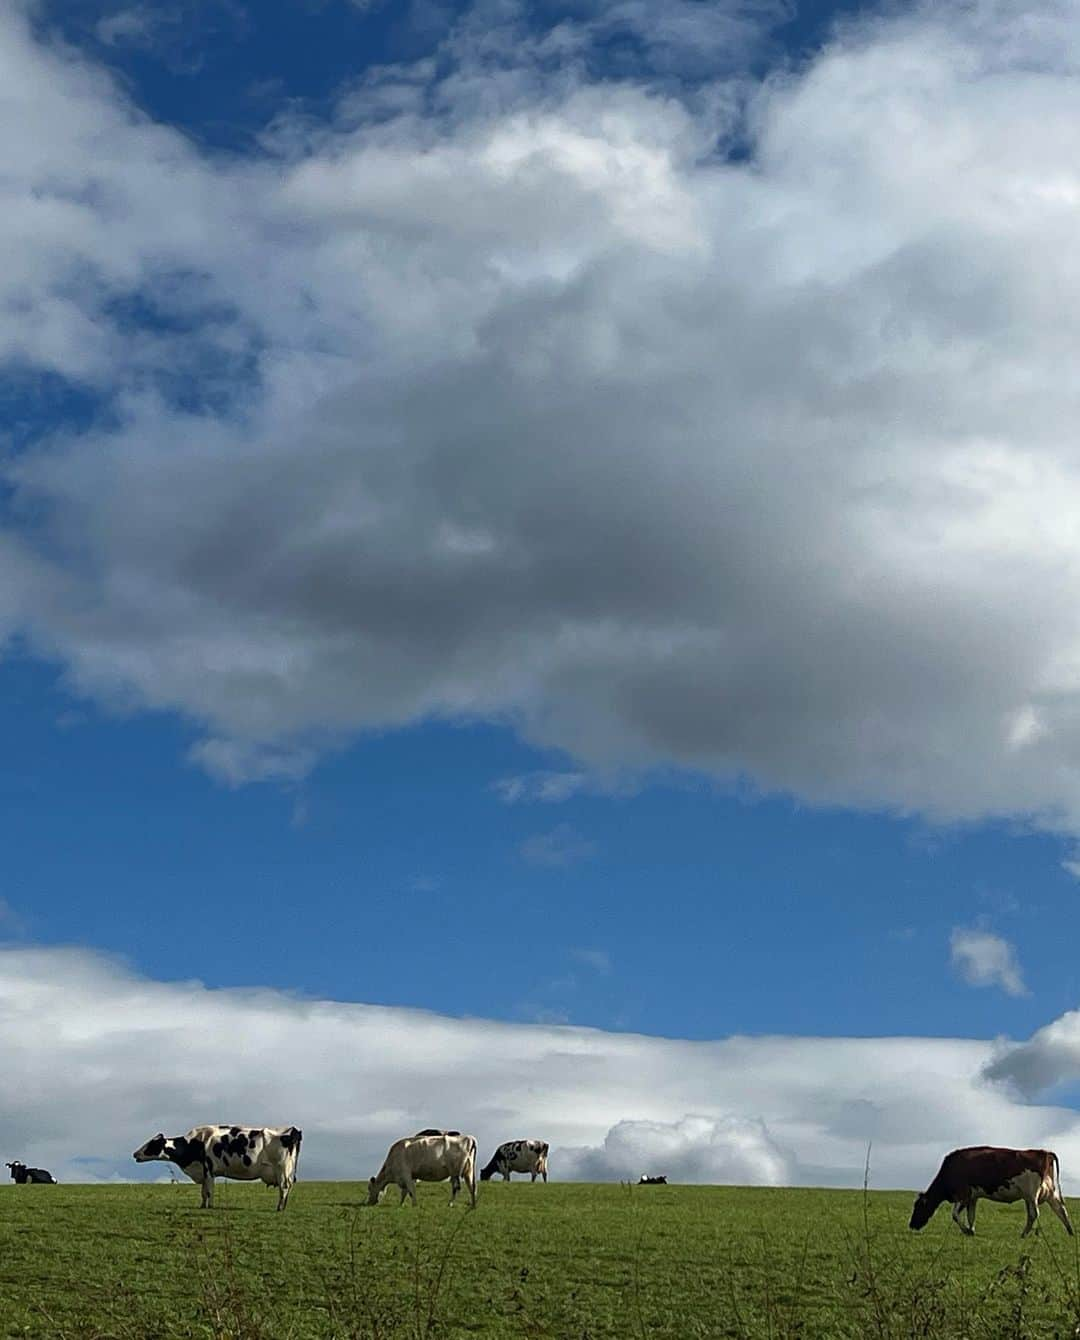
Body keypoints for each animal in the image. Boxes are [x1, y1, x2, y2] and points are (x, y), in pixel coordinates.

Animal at [136, 1120, 304, 1216]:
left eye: (151, 1144)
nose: (134, 1154)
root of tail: (293, 1130)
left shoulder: (208, 1169)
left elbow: (209, 1191)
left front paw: (209, 1207)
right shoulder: (205, 1172)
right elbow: (203, 1192)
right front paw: (202, 1206)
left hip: (282, 1169)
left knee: (284, 1187)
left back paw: (279, 1208)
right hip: (287, 1171)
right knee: (288, 1188)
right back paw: (283, 1207)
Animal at [911, 1147, 1071, 1238]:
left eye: (918, 1207)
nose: (911, 1225)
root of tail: (1044, 1152)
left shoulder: (963, 1193)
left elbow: (955, 1215)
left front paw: (967, 1231)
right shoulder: (973, 1197)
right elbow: (971, 1215)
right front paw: (971, 1230)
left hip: (1031, 1193)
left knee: (1034, 1214)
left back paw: (1024, 1234)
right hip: (1048, 1192)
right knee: (1060, 1209)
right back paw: (1070, 1231)